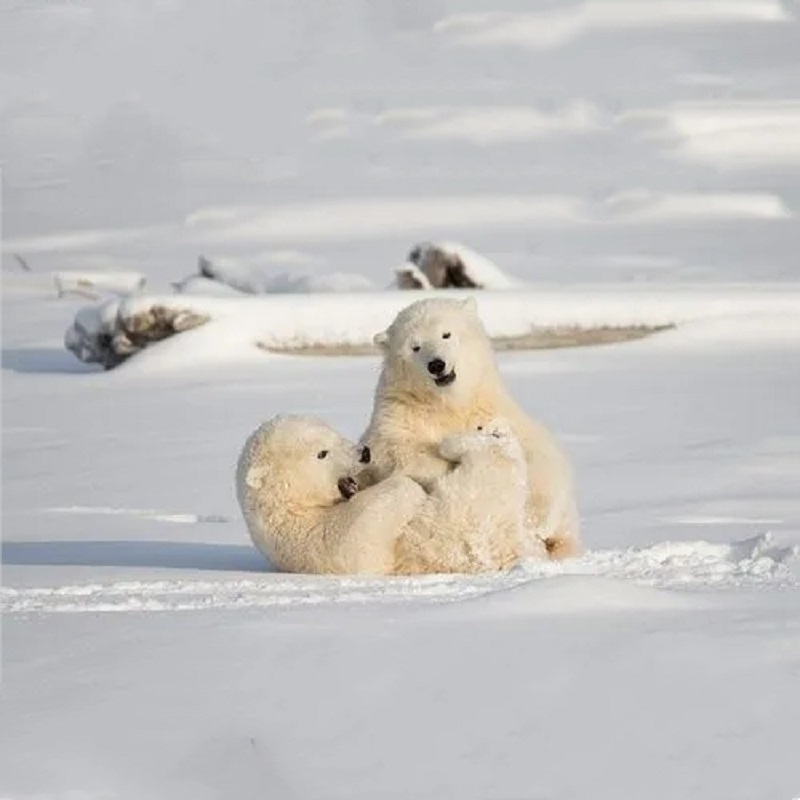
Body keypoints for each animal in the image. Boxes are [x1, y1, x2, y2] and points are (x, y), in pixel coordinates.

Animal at [233, 412, 532, 576]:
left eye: (333, 434)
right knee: (494, 460)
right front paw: (412, 489)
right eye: (322, 453)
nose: (363, 453)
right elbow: (379, 508)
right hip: (480, 502)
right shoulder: (325, 544)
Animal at [360, 296, 580, 560]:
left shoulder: (495, 408)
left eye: (446, 334)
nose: (436, 364)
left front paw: (536, 518)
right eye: (415, 347)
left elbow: (540, 453)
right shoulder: (398, 415)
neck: (450, 403)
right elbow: (396, 452)